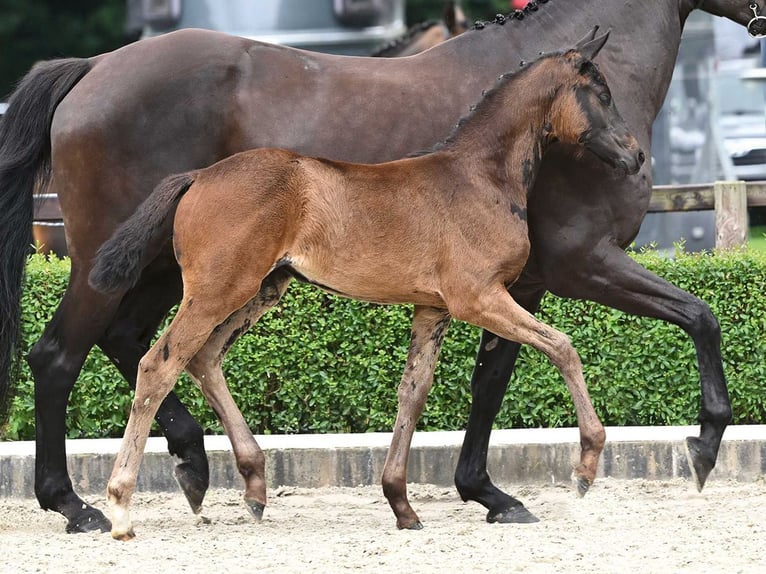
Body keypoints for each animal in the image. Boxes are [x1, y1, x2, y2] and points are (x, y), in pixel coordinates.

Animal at [88, 32, 648, 544]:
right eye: (601, 92)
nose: (637, 156)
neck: (479, 177)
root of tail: (198, 177)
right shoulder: (479, 298)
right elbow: (563, 347)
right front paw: (585, 467)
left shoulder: (433, 309)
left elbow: (412, 393)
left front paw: (402, 505)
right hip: (216, 290)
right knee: (159, 365)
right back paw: (120, 508)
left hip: (263, 288)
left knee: (204, 358)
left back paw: (254, 489)